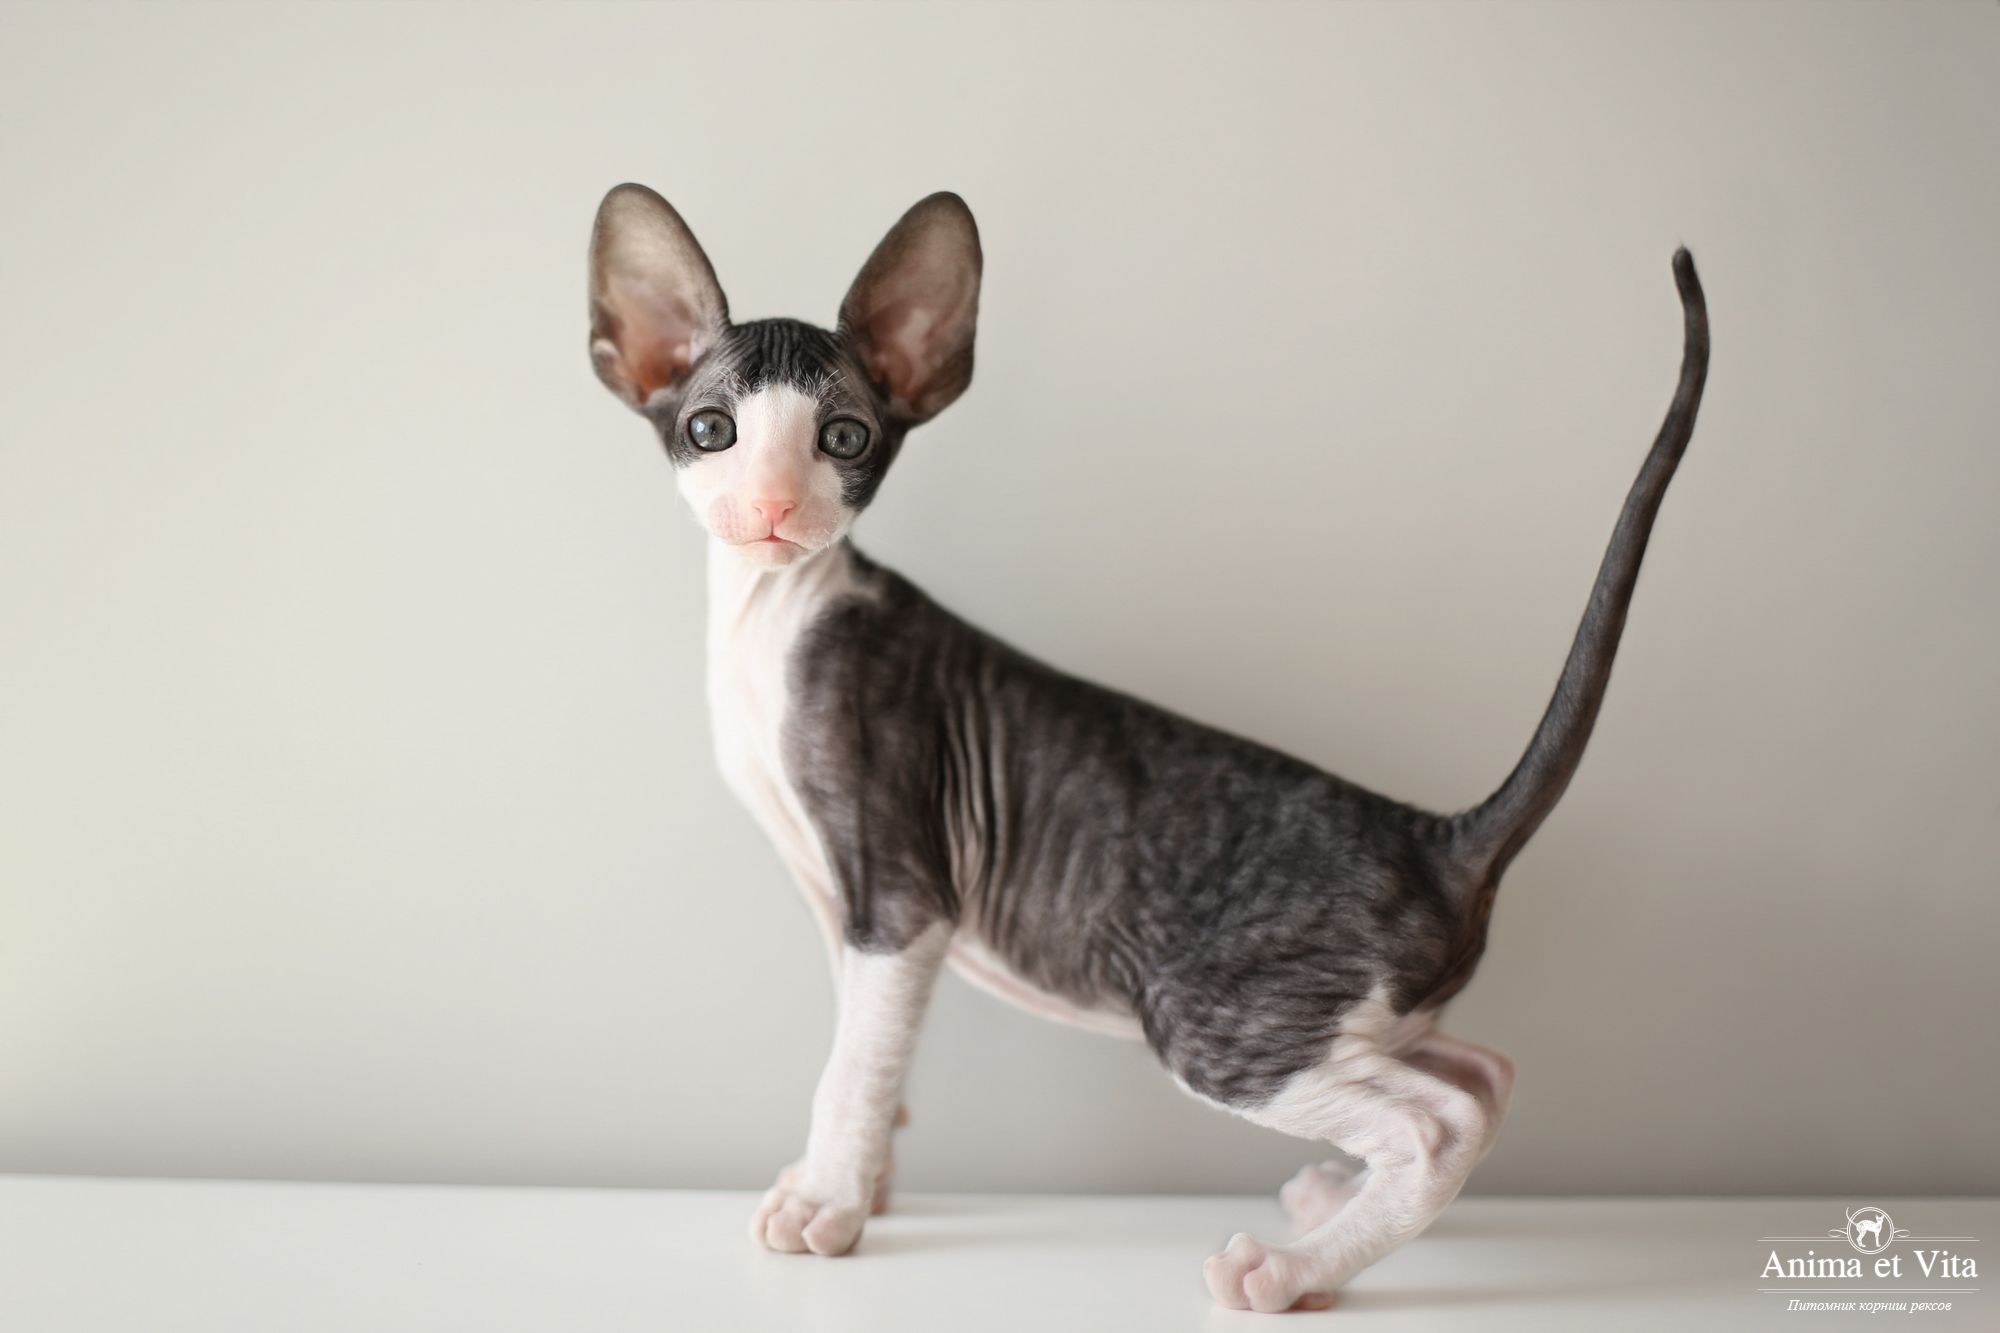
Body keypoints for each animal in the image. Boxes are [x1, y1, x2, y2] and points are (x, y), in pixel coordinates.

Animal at [586, 183, 1707, 1312]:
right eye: (711, 429)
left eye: (845, 435)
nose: (772, 505)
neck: (769, 612)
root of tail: (1439, 836)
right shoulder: (843, 904)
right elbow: (868, 1045)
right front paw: (867, 1179)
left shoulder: (898, 894)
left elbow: (854, 1063)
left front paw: (826, 1202)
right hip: (1350, 1014)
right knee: (1484, 1071)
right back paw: (1330, 1207)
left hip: (1210, 1014)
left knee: (1441, 1121)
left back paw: (1287, 1269)